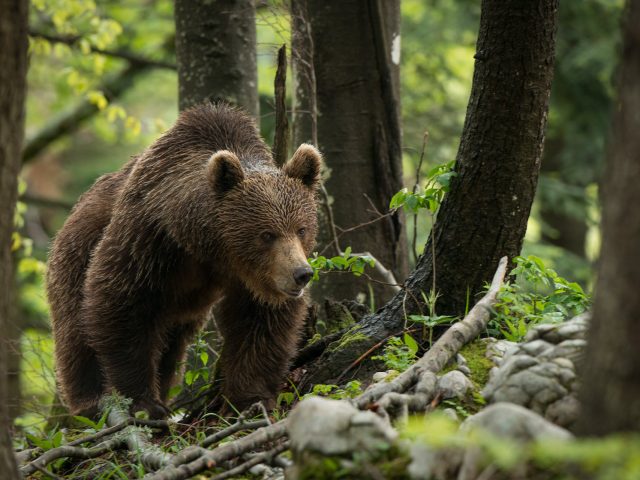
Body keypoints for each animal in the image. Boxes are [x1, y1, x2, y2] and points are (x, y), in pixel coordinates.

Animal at [46, 103, 320, 418]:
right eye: (266, 234)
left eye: (301, 229)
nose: (301, 274)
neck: (209, 249)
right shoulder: (149, 239)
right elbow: (120, 302)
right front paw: (143, 402)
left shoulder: (254, 278)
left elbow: (261, 322)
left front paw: (250, 399)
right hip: (75, 256)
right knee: (76, 332)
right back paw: (89, 401)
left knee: (171, 347)